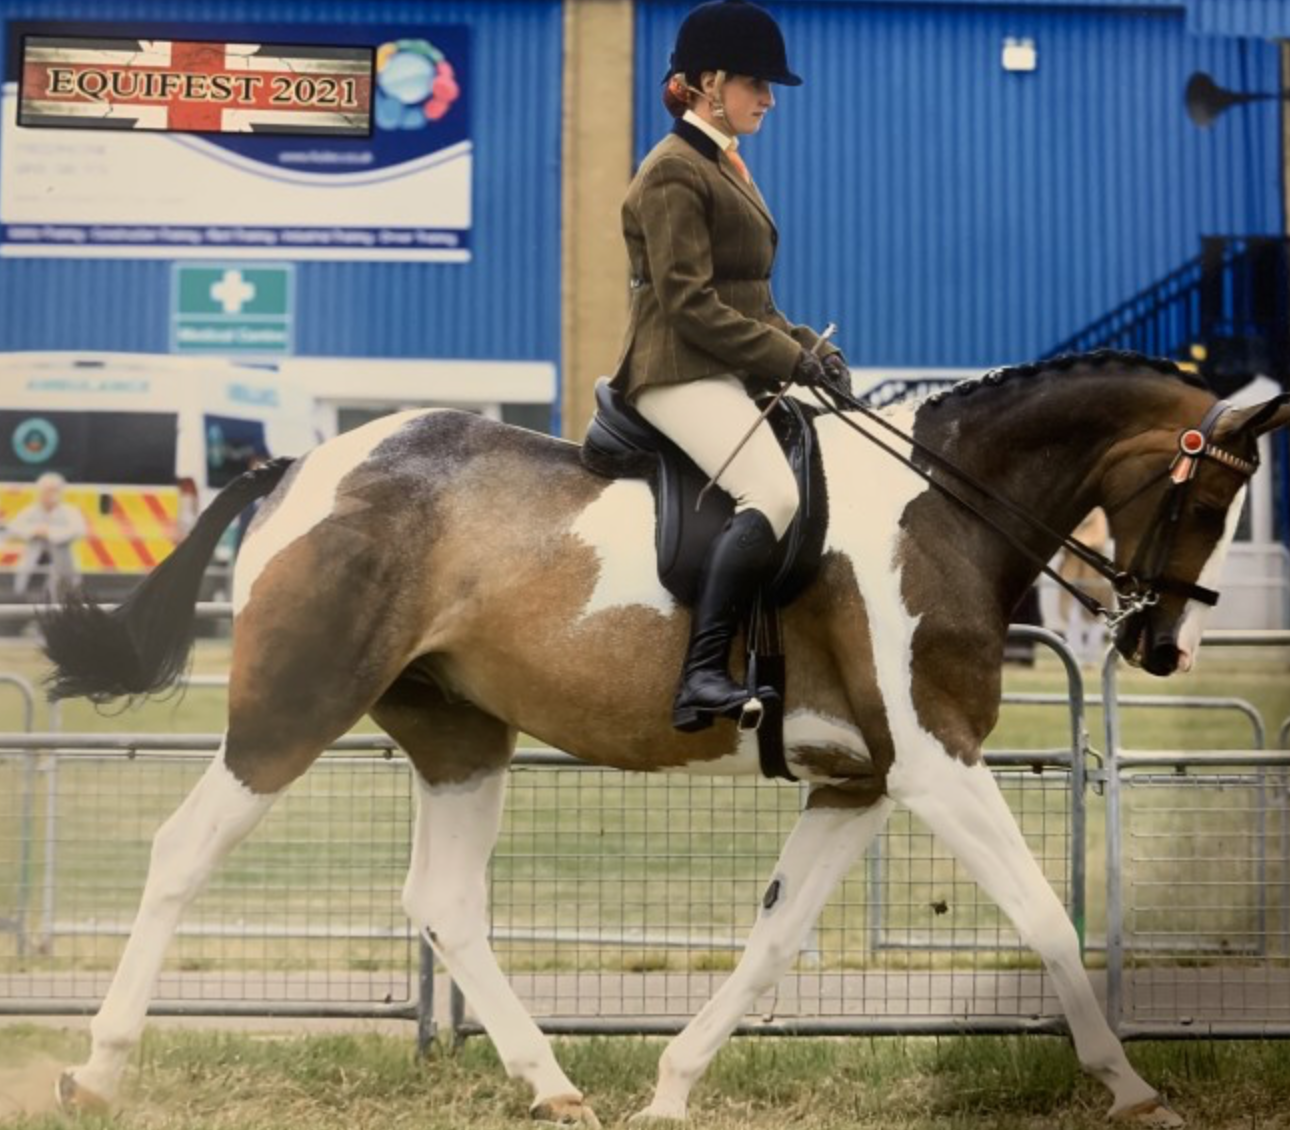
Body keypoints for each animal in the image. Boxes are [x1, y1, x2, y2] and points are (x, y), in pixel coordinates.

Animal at [40, 351, 1289, 1129]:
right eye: (1201, 500)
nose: (1165, 645)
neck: (941, 509)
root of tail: (299, 465)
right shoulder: (938, 763)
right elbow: (1044, 915)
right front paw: (1129, 1085)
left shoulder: (863, 782)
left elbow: (774, 939)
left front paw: (674, 1083)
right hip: (294, 704)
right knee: (183, 852)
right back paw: (99, 1068)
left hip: (461, 734)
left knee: (444, 901)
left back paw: (553, 1085)